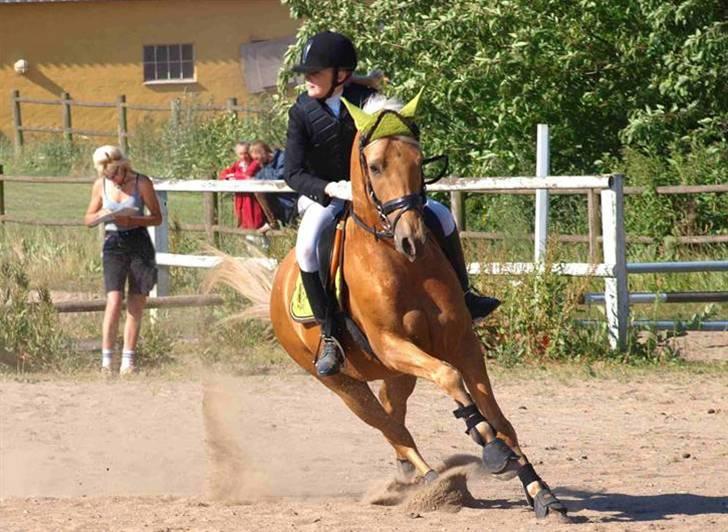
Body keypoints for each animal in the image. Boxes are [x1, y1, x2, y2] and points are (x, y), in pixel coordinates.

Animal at [225, 93, 564, 516]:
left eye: (418, 160)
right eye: (374, 166)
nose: (412, 240)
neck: (401, 263)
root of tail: (275, 286)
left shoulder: (461, 341)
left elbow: (496, 414)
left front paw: (539, 490)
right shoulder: (391, 343)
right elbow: (451, 379)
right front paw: (495, 453)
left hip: (396, 374)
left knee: (393, 411)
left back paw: (409, 473)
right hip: (343, 382)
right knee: (386, 424)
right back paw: (430, 479)